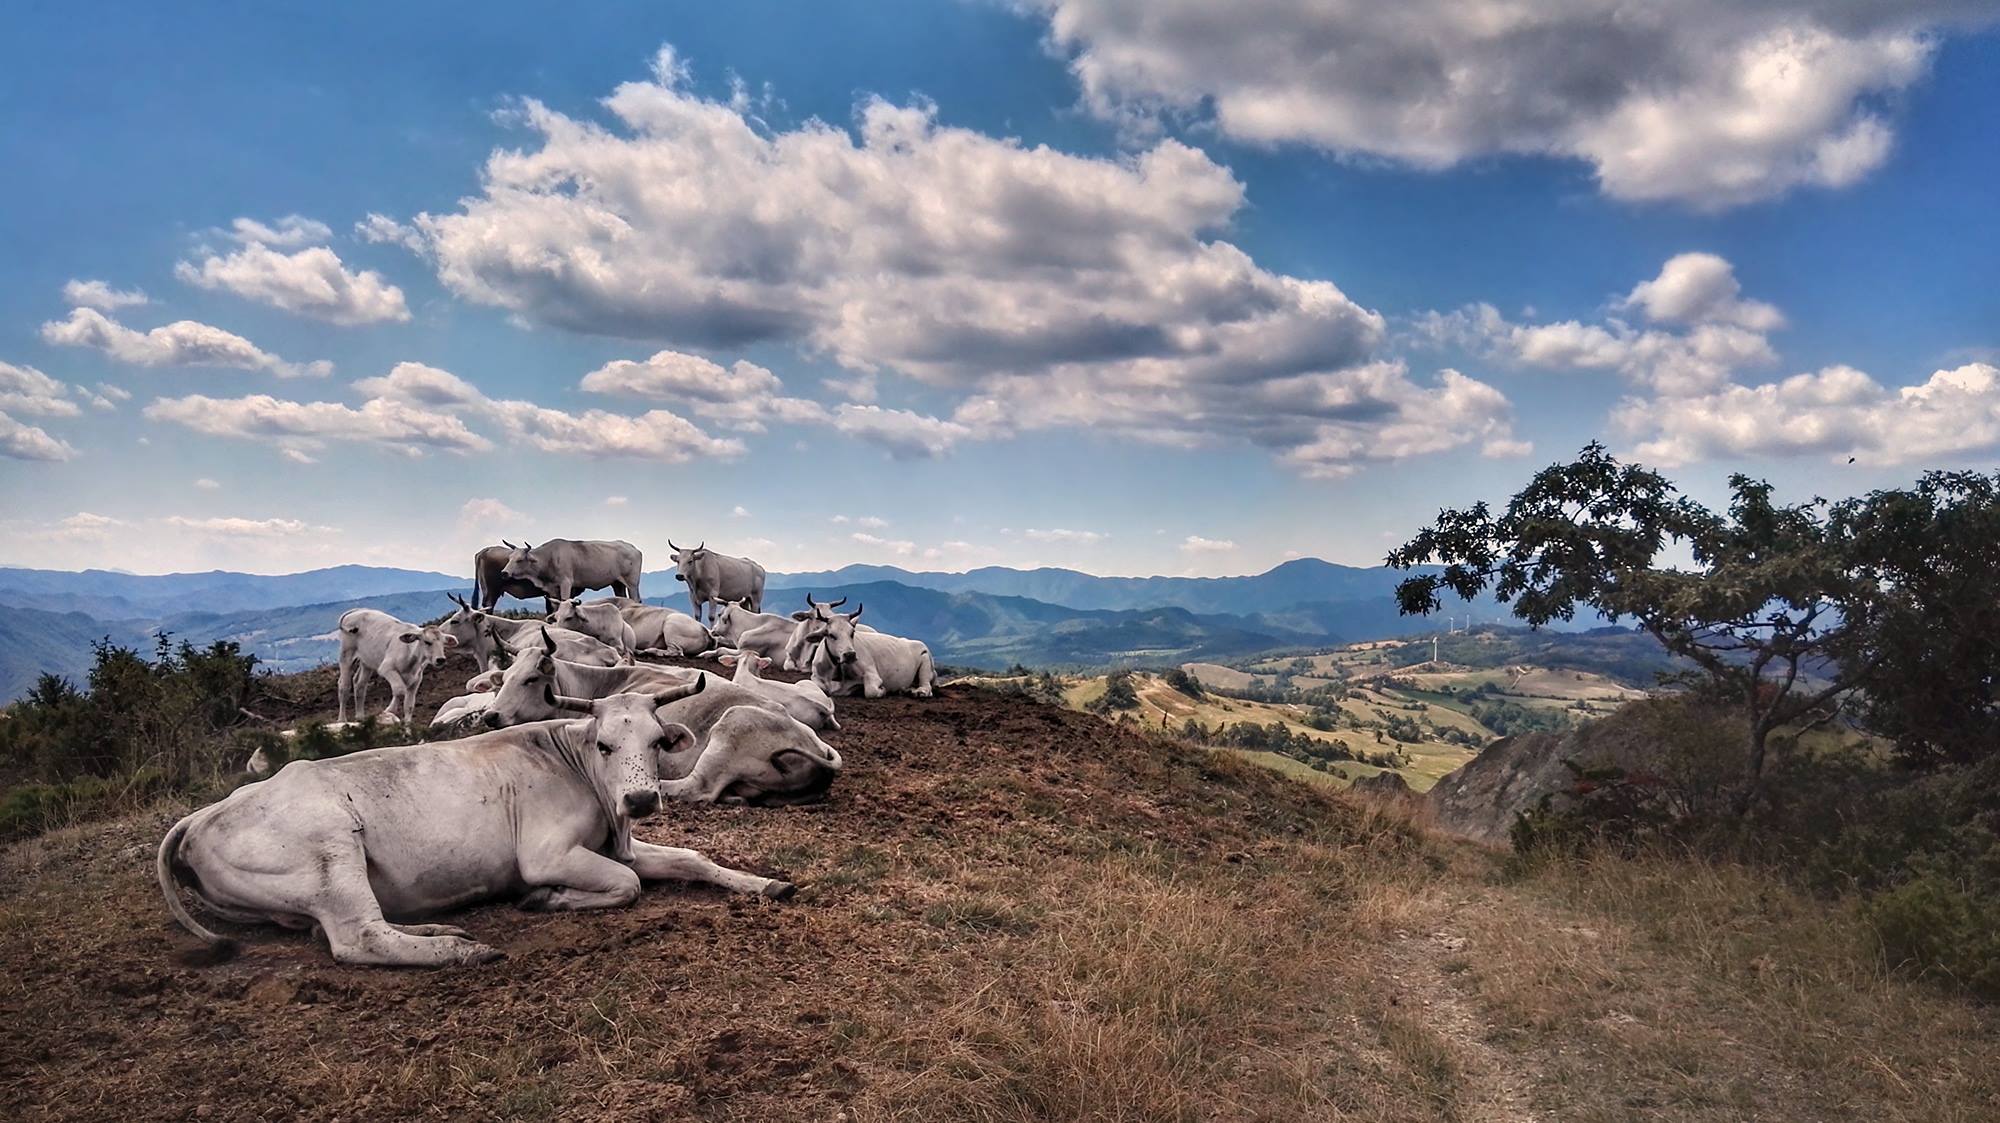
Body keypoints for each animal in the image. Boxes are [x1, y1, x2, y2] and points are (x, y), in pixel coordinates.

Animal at [504, 539, 644, 607]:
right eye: (509, 558)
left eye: (519, 560)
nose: (504, 572)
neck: (549, 557)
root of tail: (633, 548)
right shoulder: (552, 589)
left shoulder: (566, 583)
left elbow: (565, 600)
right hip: (617, 584)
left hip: (632, 584)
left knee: (635, 599)